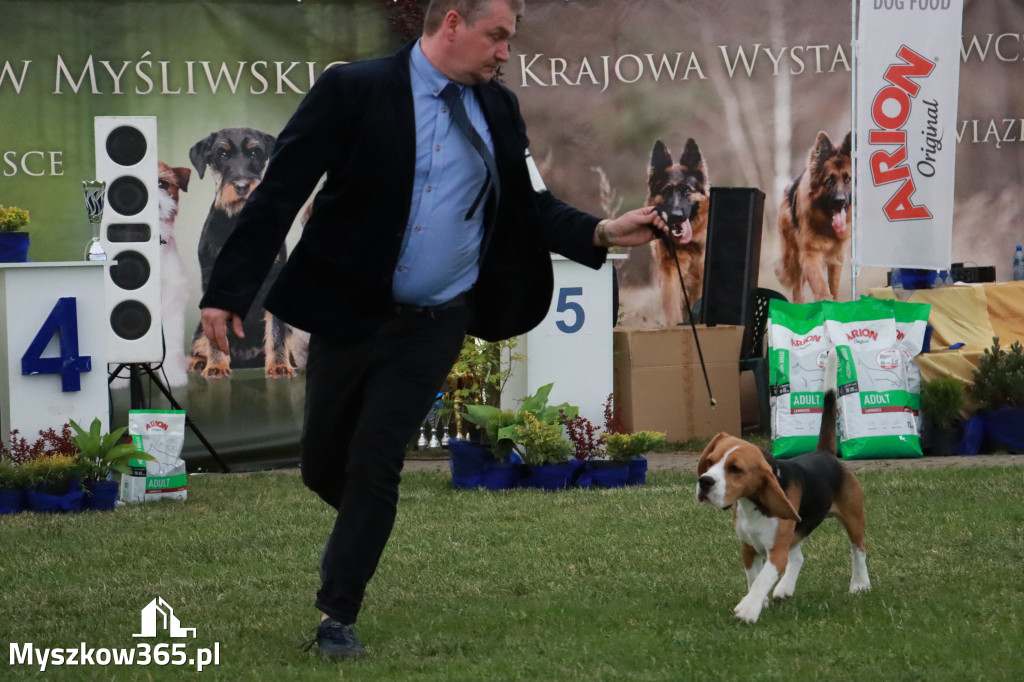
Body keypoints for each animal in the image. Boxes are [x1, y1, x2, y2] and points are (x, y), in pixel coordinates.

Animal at [692, 352, 868, 618]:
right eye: (710, 461)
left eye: (735, 469)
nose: (705, 482)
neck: (753, 505)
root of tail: (824, 453)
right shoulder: (748, 547)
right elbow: (754, 578)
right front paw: (760, 602)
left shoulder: (776, 553)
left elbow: (763, 578)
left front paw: (749, 609)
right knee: (799, 557)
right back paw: (785, 588)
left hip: (853, 518)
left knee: (859, 550)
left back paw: (860, 584)